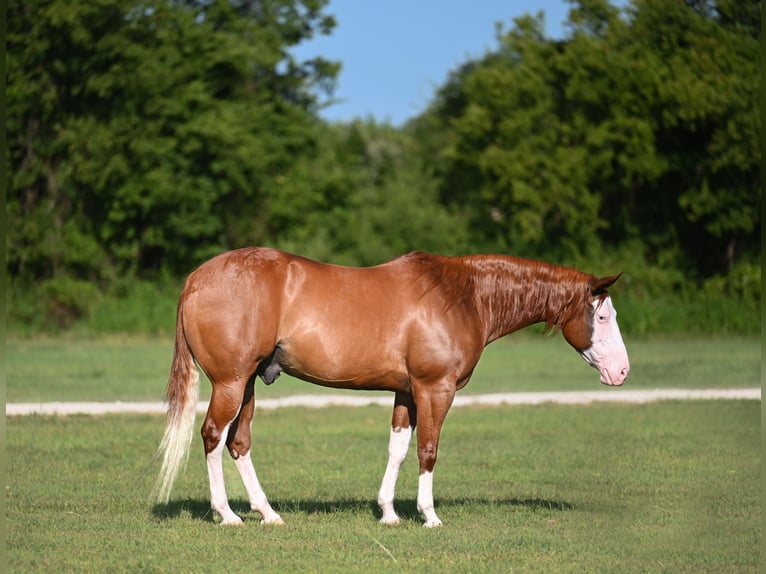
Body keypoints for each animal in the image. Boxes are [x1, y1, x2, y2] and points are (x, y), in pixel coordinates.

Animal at [153, 247, 630, 527]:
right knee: (213, 437)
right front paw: (429, 515)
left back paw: (267, 513)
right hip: (231, 383)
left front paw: (387, 512)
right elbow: (428, 450)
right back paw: (226, 514)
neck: (462, 296)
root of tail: (196, 279)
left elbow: (398, 449)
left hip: (248, 383)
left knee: (238, 443)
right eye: (602, 316)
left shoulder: (406, 392)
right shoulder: (435, 390)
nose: (622, 372)